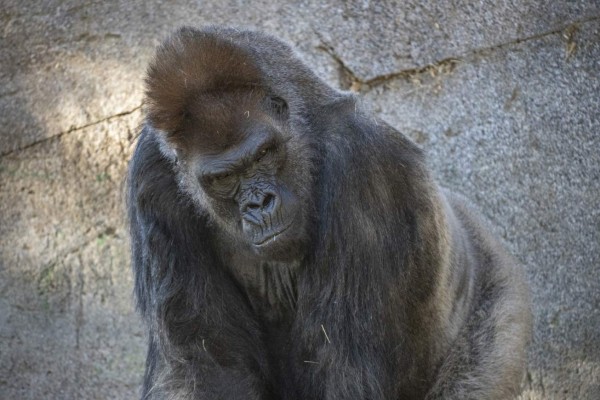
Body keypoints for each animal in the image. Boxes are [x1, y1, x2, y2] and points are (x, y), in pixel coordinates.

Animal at [126, 26, 528, 398]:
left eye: (264, 154)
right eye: (223, 178)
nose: (259, 204)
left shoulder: (362, 159)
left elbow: (345, 369)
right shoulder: (152, 176)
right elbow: (207, 364)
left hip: (500, 307)